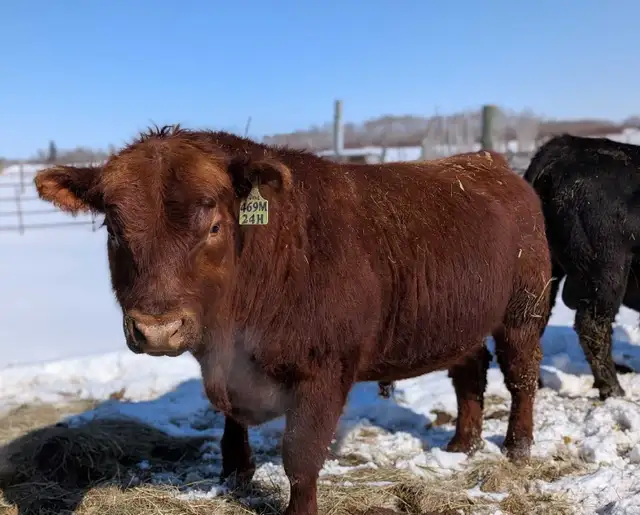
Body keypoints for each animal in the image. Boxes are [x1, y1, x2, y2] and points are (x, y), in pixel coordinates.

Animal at [34, 126, 551, 515]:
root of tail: (488, 163)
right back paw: (462, 444)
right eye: (114, 230)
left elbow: (300, 455)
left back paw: (518, 448)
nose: (158, 329)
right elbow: (231, 424)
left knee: (521, 378)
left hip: (523, 311)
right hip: (462, 320)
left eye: (215, 226)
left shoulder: (324, 370)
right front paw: (236, 471)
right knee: (470, 373)